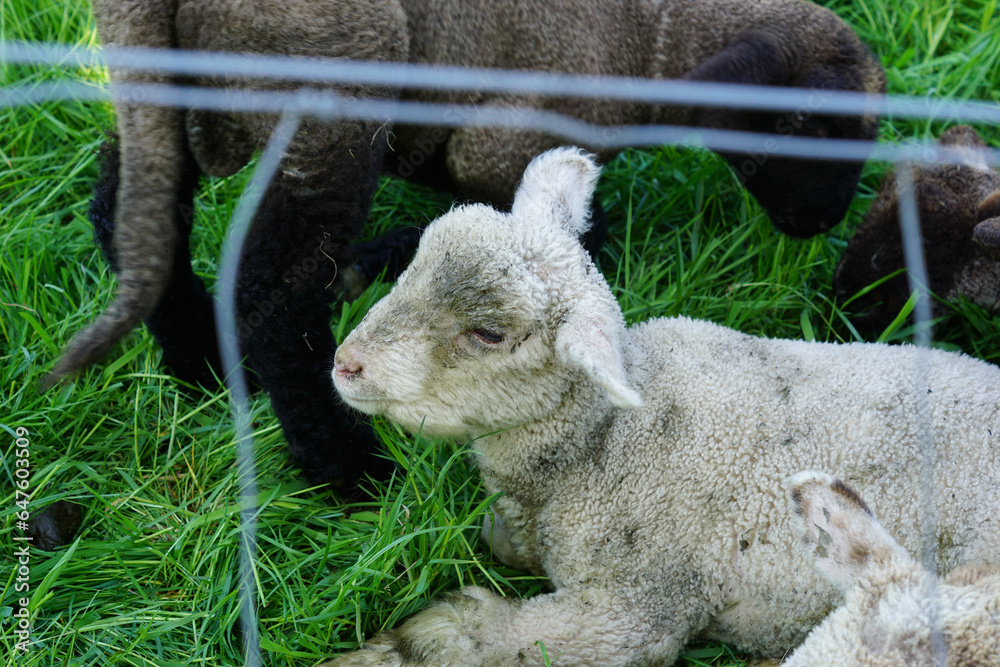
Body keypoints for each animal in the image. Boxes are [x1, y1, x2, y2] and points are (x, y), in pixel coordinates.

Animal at [45, 0, 885, 486]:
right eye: (817, 127)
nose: (820, 227)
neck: (654, 41)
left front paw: (384, 257)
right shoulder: (507, 134)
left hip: (161, 89)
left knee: (129, 212)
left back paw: (200, 363)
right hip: (328, 89)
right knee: (274, 291)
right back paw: (346, 467)